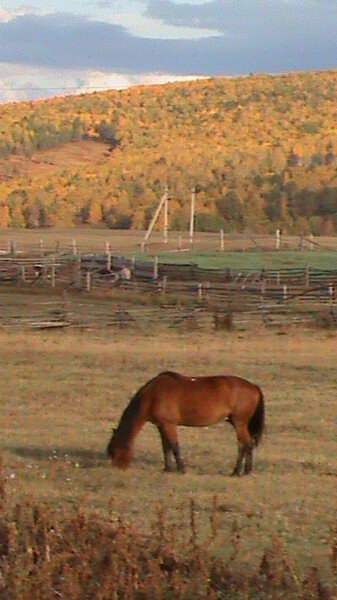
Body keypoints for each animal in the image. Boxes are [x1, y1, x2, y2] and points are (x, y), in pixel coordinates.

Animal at [106, 368, 264, 476]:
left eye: (114, 451)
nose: (117, 469)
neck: (152, 396)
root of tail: (253, 386)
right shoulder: (161, 426)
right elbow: (166, 447)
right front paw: (167, 468)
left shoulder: (169, 425)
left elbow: (174, 446)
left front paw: (181, 469)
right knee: (246, 445)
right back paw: (245, 471)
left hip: (239, 423)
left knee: (245, 444)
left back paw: (237, 472)